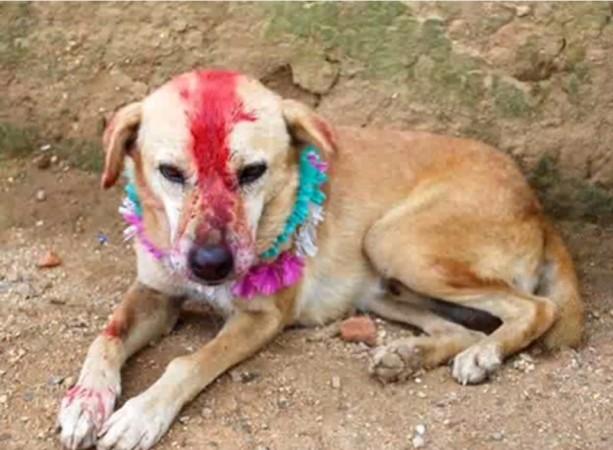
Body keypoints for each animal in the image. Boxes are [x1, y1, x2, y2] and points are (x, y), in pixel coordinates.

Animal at [57, 69, 584, 450]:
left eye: (252, 172)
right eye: (170, 172)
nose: (211, 265)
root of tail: (536, 204)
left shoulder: (261, 317)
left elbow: (187, 363)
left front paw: (142, 413)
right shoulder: (155, 292)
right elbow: (106, 337)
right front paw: (86, 401)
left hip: (397, 242)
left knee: (534, 308)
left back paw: (484, 355)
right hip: (384, 285)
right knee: (460, 327)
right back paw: (406, 356)